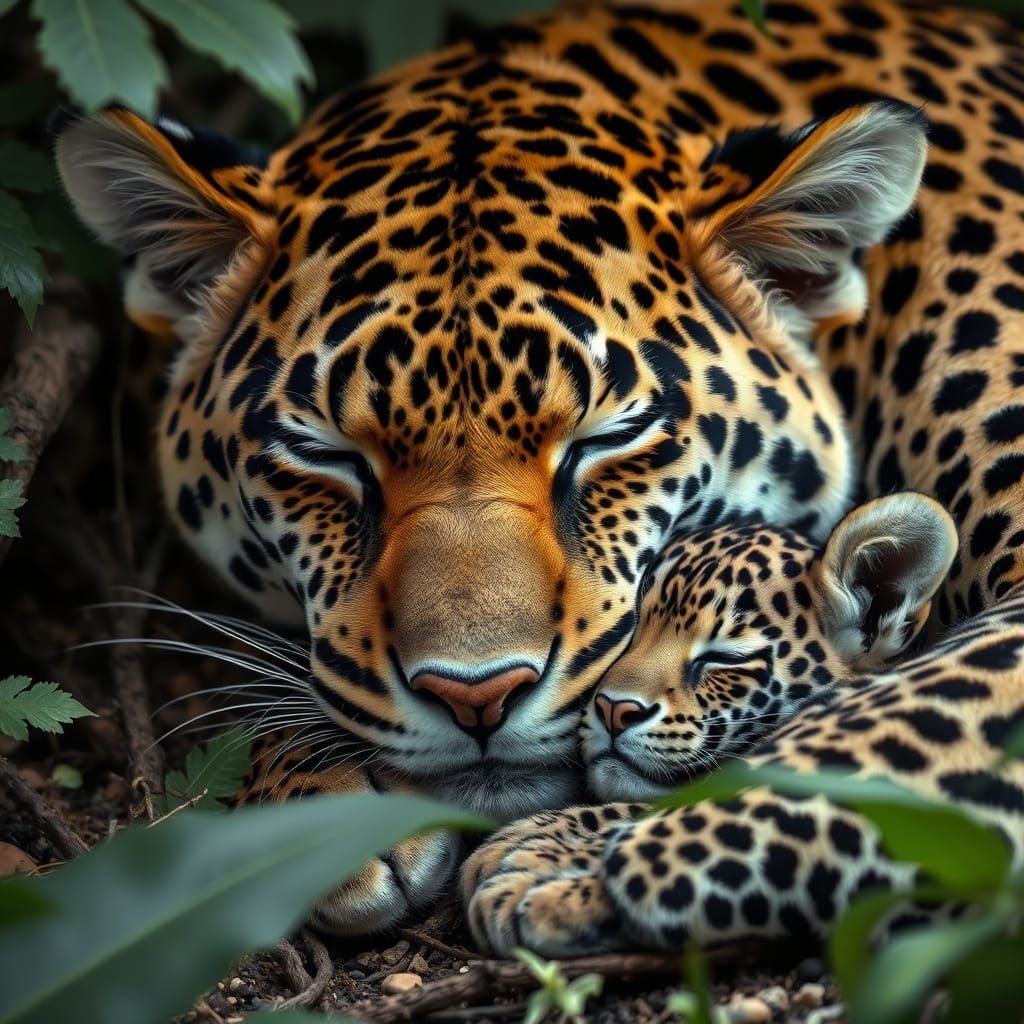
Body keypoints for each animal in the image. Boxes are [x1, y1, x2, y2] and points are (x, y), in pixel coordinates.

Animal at [55, 0, 1024, 938]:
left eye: (606, 440)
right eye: (326, 456)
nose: (477, 697)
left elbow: (869, 736)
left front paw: (580, 860)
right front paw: (315, 808)